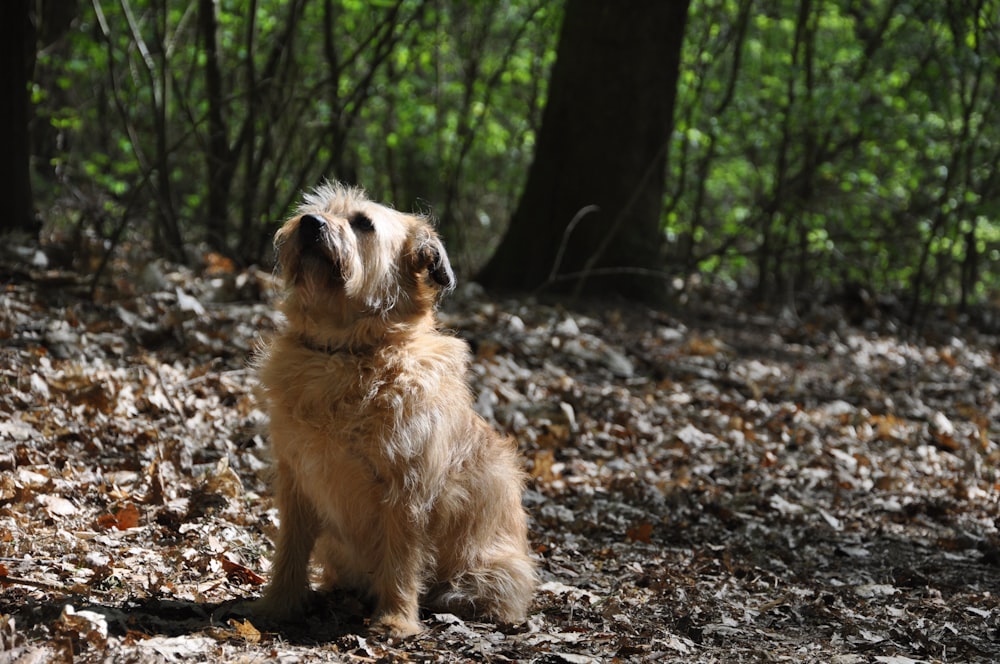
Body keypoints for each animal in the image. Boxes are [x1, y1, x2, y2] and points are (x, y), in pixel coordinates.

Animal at [247, 183, 536, 640]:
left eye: (363, 223)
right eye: (314, 208)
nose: (310, 224)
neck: (343, 353)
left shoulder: (406, 489)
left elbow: (400, 559)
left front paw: (396, 620)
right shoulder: (296, 478)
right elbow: (289, 549)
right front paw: (278, 605)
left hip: (493, 570)